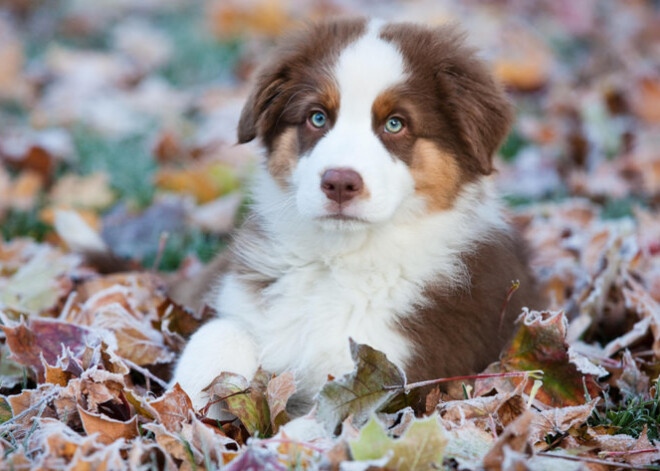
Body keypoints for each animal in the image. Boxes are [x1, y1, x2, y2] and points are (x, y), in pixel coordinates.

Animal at [170, 17, 540, 416]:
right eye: (317, 117)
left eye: (395, 124)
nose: (339, 183)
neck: (337, 258)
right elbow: (218, 331)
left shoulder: (391, 376)